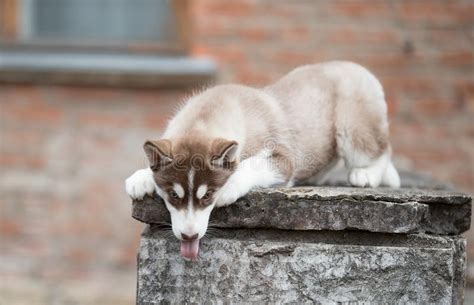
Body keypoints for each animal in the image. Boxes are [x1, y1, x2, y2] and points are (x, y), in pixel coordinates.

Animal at [126, 61, 400, 258]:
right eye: (174, 195)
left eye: (208, 196)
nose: (189, 237)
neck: (210, 112)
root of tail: (356, 66)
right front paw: (140, 178)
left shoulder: (284, 158)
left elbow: (251, 164)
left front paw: (230, 186)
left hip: (353, 125)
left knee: (382, 150)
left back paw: (368, 173)